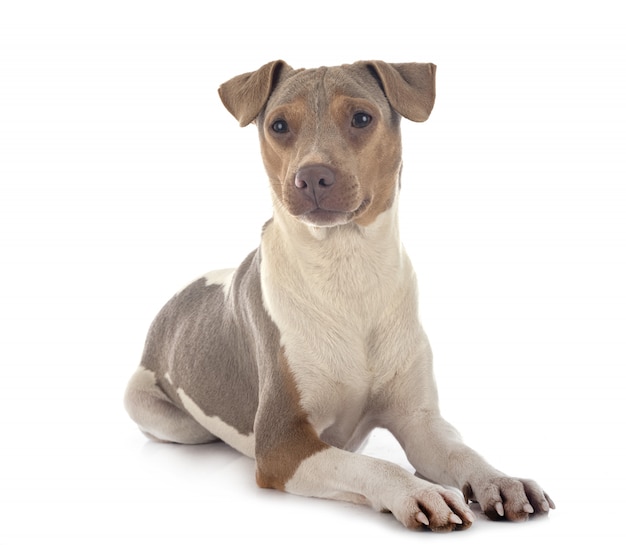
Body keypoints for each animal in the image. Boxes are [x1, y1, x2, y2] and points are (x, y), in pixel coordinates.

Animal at [124, 60, 552, 532]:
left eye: (361, 118)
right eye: (278, 125)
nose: (312, 175)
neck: (347, 268)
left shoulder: (420, 422)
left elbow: (461, 450)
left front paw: (500, 479)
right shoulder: (283, 443)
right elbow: (375, 465)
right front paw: (417, 492)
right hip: (161, 413)